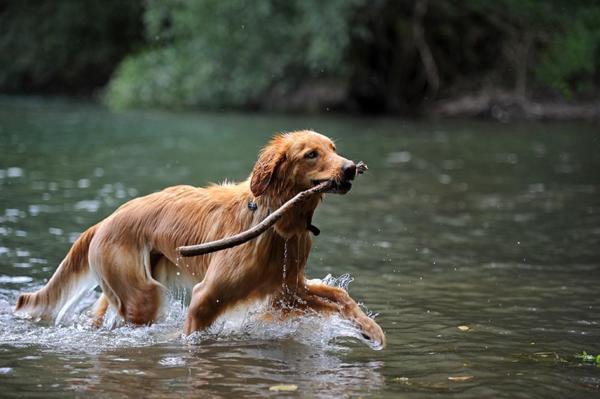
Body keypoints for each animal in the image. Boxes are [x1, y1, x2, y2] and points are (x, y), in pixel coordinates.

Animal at [17, 130, 390, 346]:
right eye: (311, 154)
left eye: (332, 148)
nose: (350, 168)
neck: (276, 222)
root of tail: (103, 222)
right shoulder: (205, 297)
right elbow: (193, 332)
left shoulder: (287, 289)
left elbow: (340, 295)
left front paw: (370, 331)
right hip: (143, 296)